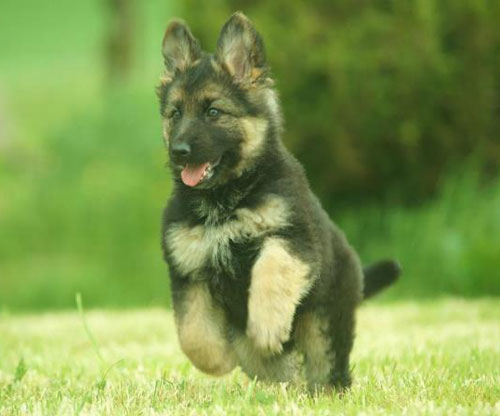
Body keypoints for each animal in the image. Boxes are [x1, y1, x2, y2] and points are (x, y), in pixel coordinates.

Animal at [156, 12, 398, 390]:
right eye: (175, 113)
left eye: (213, 112)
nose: (178, 151)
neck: (226, 201)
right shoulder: (189, 269)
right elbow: (192, 334)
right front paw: (218, 359)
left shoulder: (292, 239)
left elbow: (271, 270)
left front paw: (268, 325)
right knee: (275, 367)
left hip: (324, 319)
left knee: (327, 363)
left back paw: (327, 390)